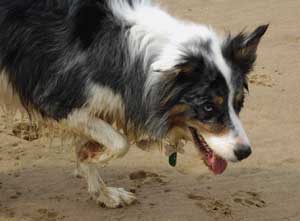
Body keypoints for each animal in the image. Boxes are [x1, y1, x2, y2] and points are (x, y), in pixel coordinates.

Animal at [0, 0, 268, 208]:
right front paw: (91, 155)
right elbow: (121, 142)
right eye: (208, 107)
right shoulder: (56, 99)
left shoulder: (93, 105)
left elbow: (96, 140)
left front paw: (100, 189)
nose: (245, 152)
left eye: (239, 103)